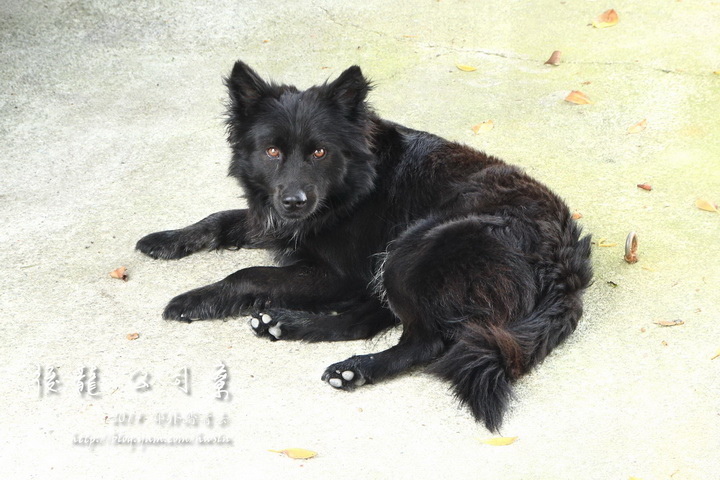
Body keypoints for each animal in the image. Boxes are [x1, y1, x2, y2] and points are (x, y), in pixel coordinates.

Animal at [136, 61, 592, 431]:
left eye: (319, 152)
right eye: (272, 151)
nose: (294, 201)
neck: (353, 183)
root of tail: (566, 268)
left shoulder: (338, 274)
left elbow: (249, 273)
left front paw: (194, 299)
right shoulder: (274, 220)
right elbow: (219, 220)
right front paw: (166, 239)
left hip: (412, 250)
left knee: (422, 341)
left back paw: (355, 368)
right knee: (368, 319)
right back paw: (286, 324)